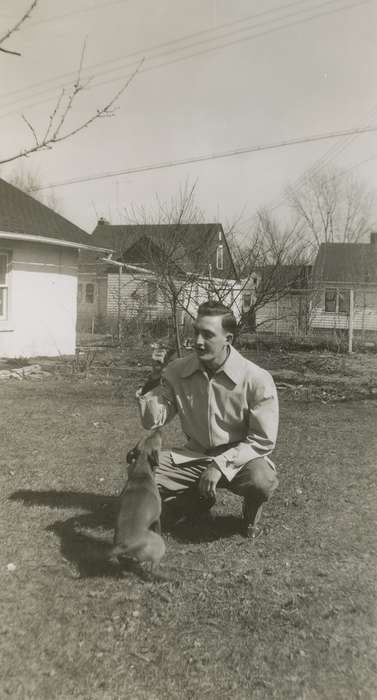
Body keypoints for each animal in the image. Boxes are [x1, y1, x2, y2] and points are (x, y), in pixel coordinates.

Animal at [108, 430, 164, 572]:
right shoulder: (157, 518)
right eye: (155, 438)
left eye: (149, 435)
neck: (141, 472)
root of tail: (125, 545)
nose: (158, 429)